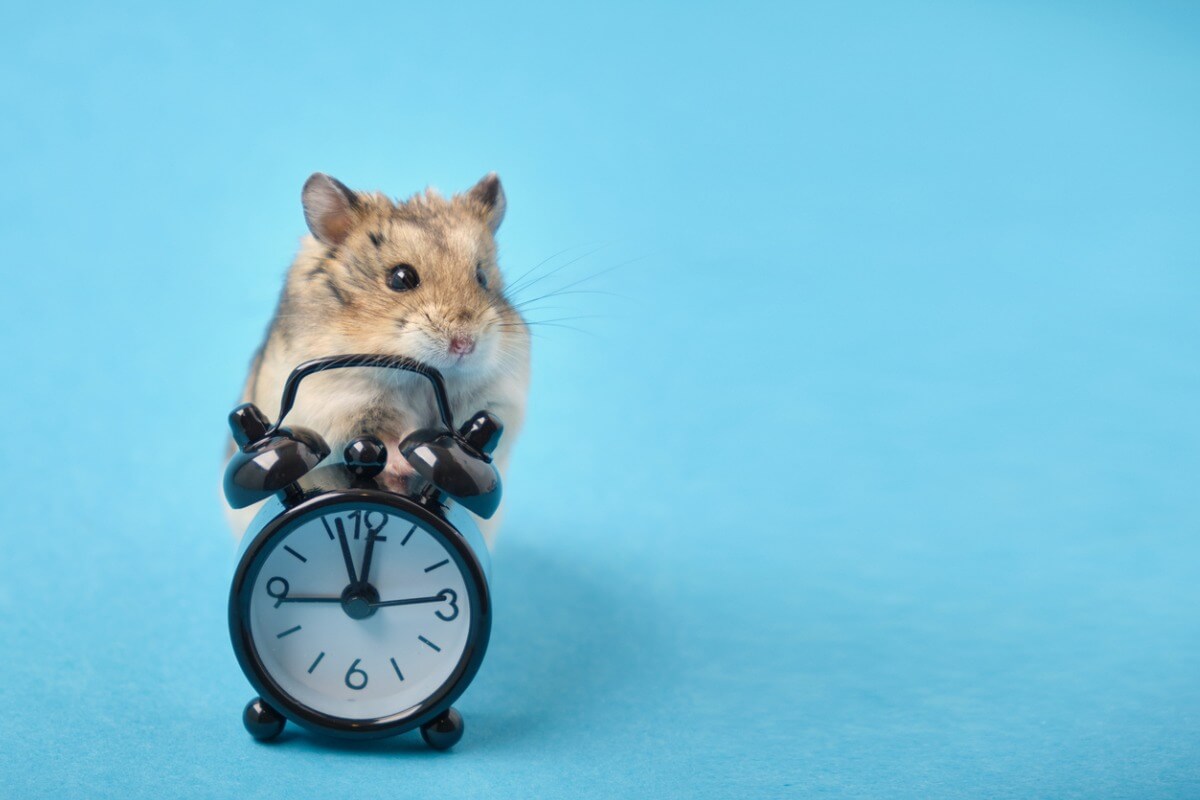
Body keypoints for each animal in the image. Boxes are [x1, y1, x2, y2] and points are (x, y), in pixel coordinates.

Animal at [226, 172, 530, 546]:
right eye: (401, 278)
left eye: (482, 277)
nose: (465, 344)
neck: (417, 378)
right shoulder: (341, 403)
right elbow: (382, 433)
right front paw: (402, 464)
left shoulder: (498, 398)